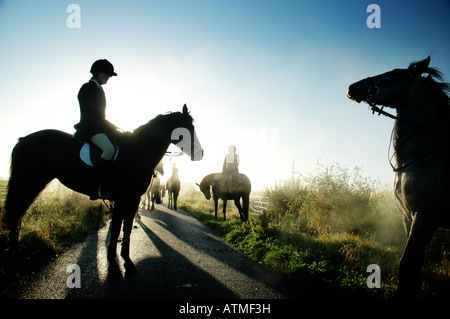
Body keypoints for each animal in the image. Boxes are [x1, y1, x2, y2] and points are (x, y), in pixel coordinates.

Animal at [2, 105, 203, 276]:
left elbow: (125, 228)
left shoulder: (131, 199)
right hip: (29, 183)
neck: (138, 151)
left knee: (17, 216)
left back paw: (14, 253)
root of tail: (23, 139)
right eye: (187, 128)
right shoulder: (125, 198)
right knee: (15, 215)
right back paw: (13, 255)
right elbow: (118, 228)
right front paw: (116, 263)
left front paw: (123, 259)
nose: (200, 153)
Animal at [348, 57, 450, 298]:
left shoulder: (426, 215)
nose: (353, 87)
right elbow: (413, 264)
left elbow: (408, 263)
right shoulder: (407, 216)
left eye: (394, 74)